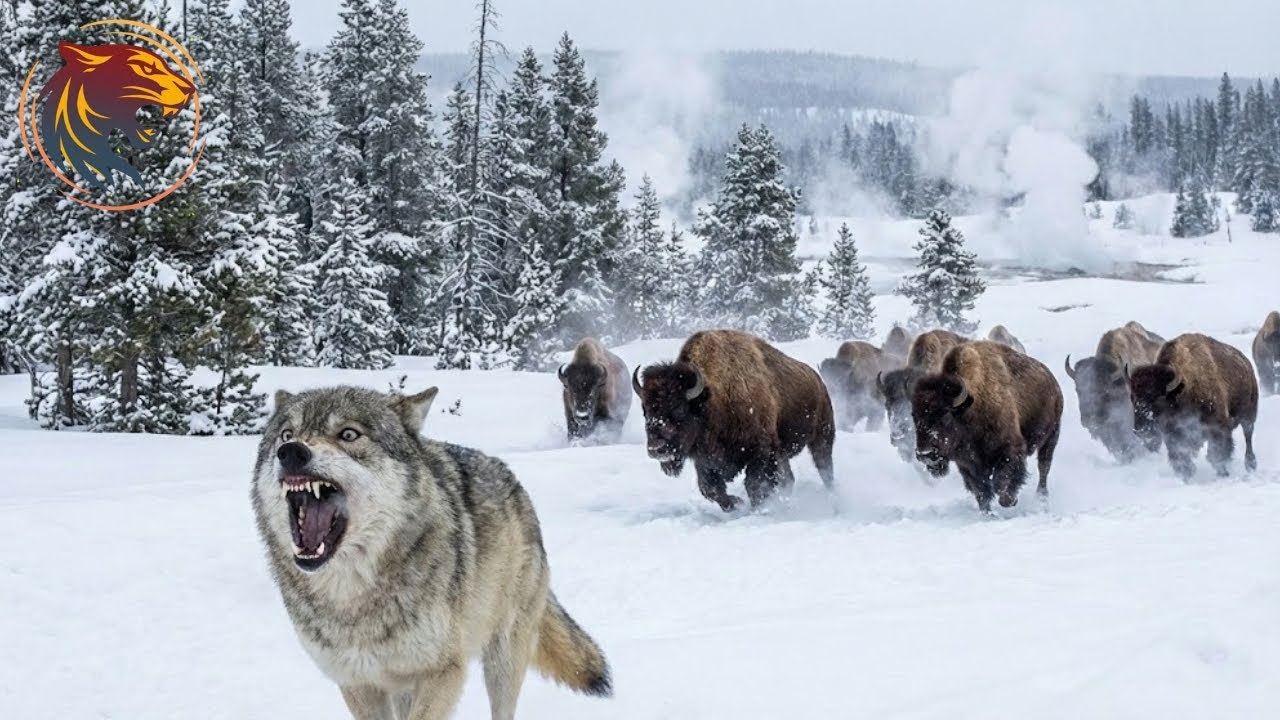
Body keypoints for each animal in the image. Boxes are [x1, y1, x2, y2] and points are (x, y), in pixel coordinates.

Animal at [251, 385, 612, 720]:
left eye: (349, 434)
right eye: (287, 434)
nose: (290, 452)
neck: (353, 598)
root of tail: (510, 477)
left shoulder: (442, 672)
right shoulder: (358, 683)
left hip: (503, 657)